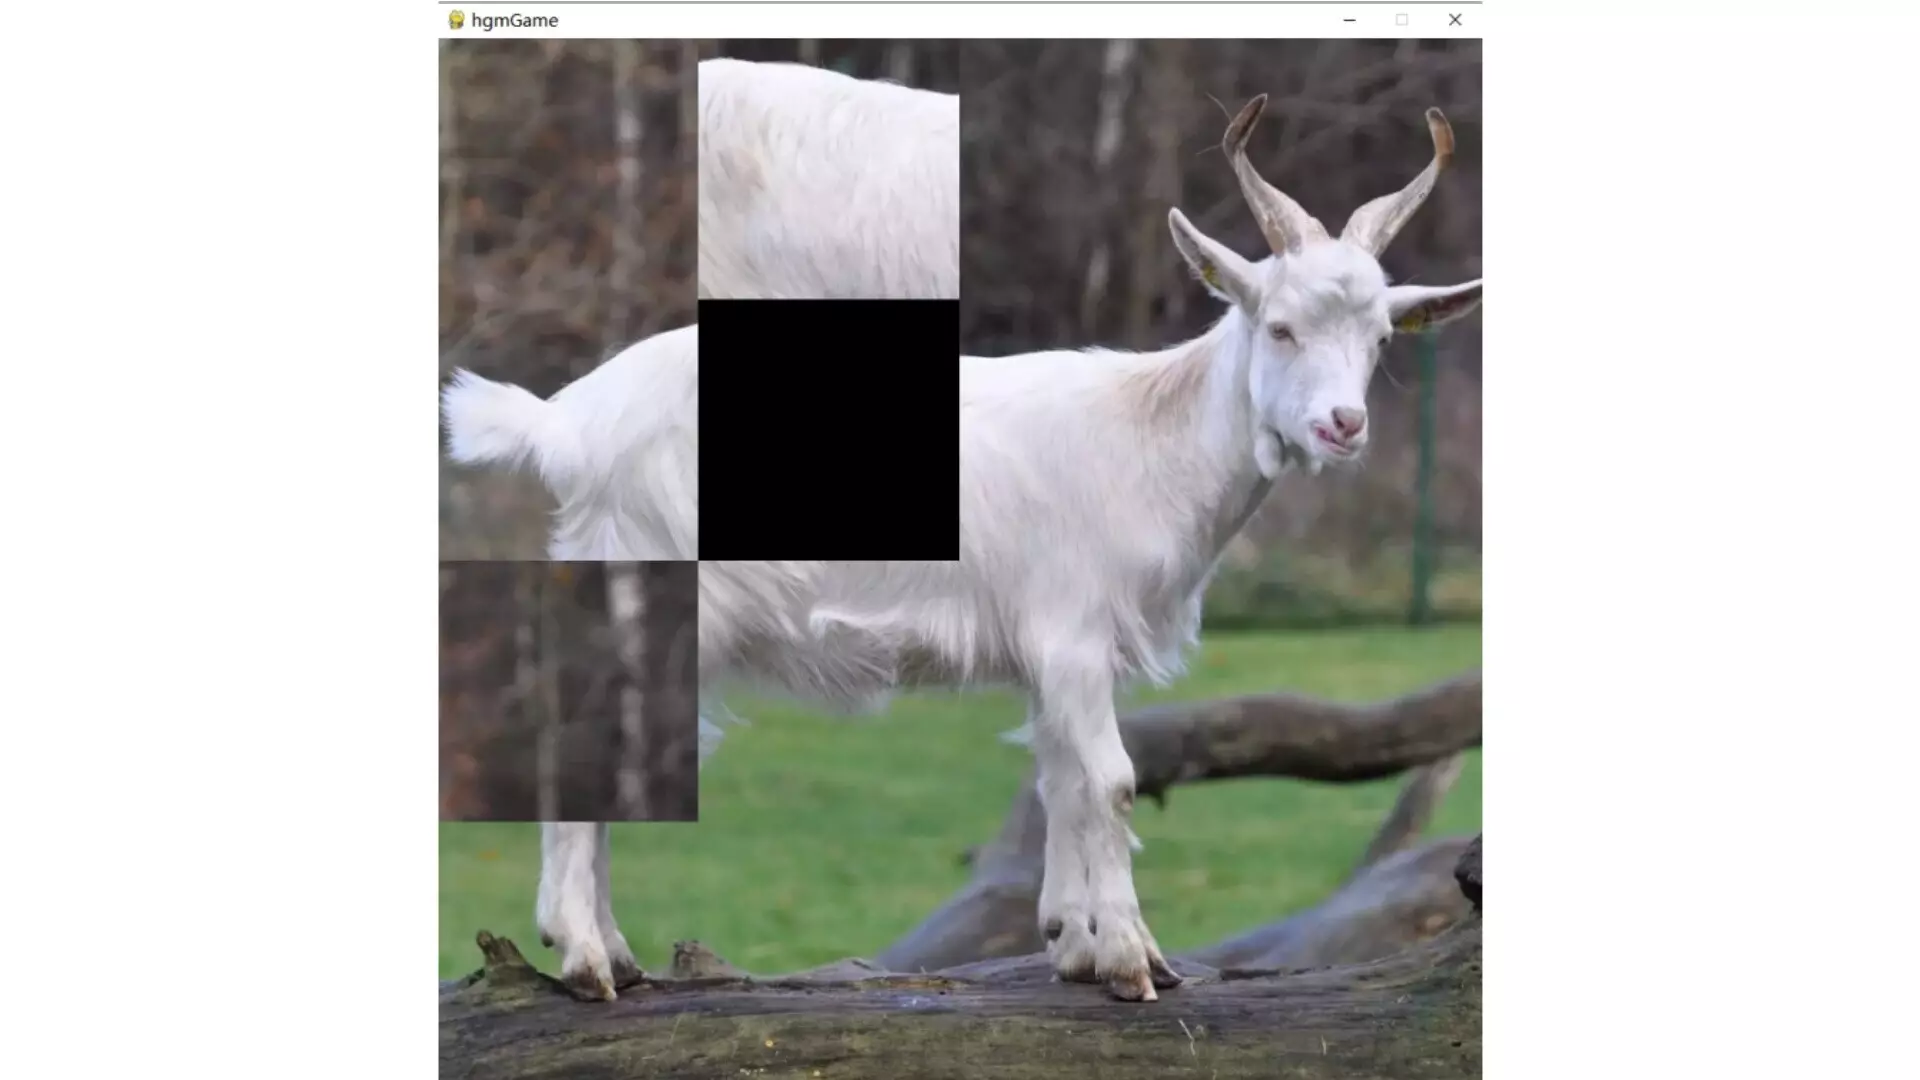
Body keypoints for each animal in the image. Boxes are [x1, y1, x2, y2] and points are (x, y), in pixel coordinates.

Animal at [535, 96, 1482, 1004]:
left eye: (1382, 338)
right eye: (1280, 327)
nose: (1342, 426)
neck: (1151, 435)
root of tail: (569, 422)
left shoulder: (1056, 652)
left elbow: (1060, 781)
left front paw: (1074, 945)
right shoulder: (1073, 631)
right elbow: (1111, 781)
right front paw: (1134, 963)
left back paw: (613, 956)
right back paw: (584, 961)